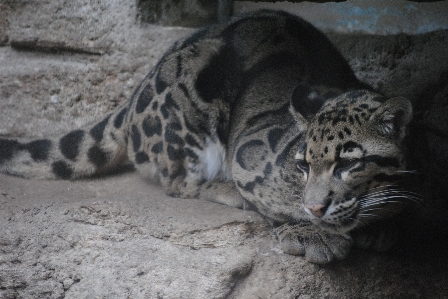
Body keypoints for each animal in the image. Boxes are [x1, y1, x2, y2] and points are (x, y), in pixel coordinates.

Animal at [0, 9, 414, 264]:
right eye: (303, 166)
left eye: (348, 163)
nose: (317, 209)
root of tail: (133, 96)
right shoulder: (250, 152)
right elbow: (274, 201)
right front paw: (310, 233)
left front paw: (384, 223)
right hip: (196, 82)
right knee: (177, 182)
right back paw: (225, 189)